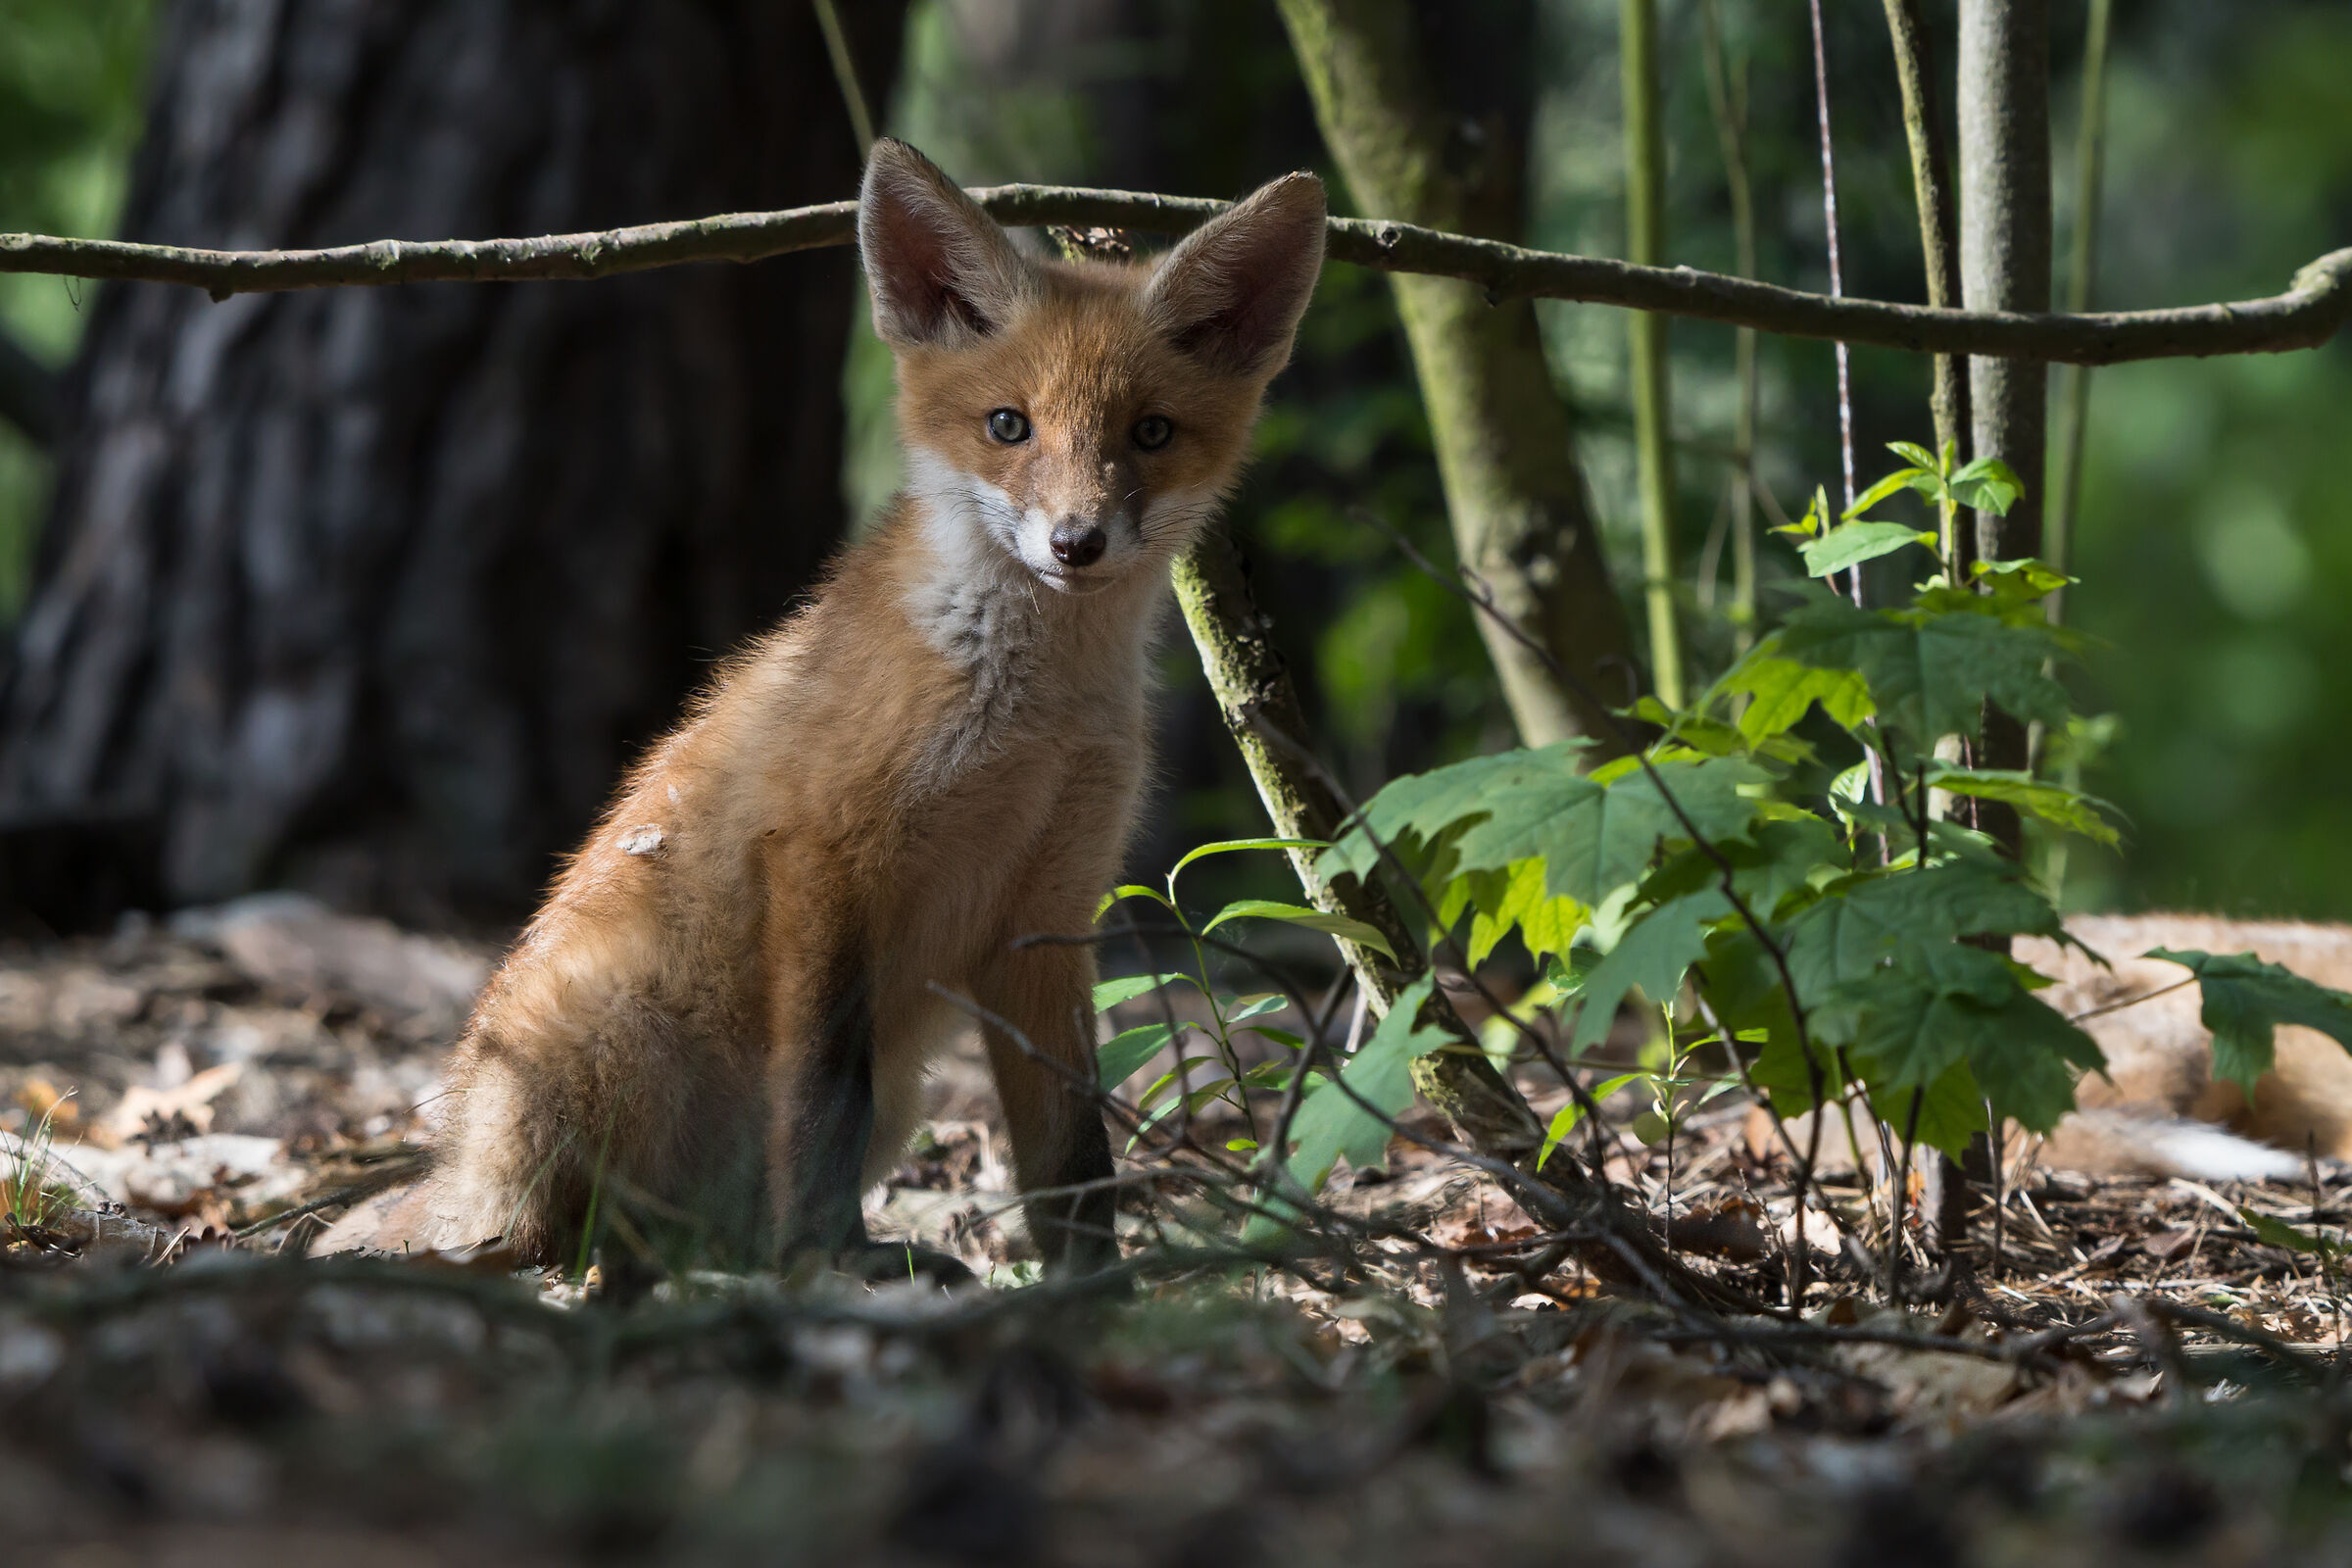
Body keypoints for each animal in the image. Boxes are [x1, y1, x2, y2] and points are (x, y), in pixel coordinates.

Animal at [322, 141, 1328, 1276]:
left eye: (1150, 433)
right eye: (1009, 425)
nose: (1077, 543)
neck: (1029, 723)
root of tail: (464, 1165)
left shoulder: (1051, 912)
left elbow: (1073, 1149)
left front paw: (1094, 1284)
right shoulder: (822, 854)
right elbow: (818, 1092)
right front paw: (831, 1257)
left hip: (893, 1098)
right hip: (610, 1038)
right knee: (548, 1234)